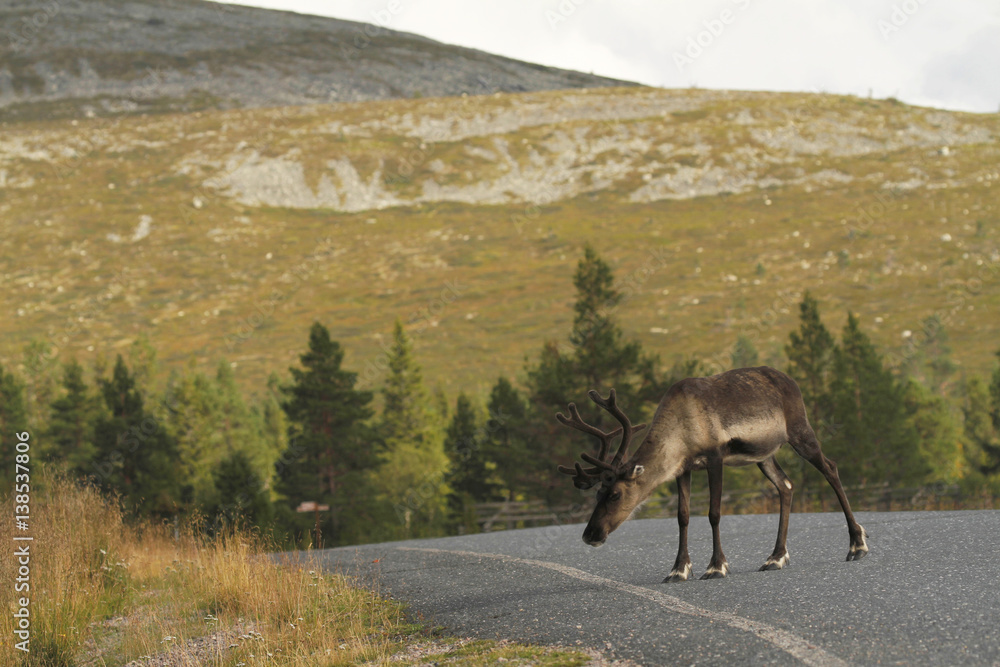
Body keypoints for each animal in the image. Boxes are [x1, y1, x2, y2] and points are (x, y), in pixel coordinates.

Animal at [557, 366, 868, 582]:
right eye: (597, 492)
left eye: (615, 494)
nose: (590, 534)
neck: (679, 431)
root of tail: (790, 380)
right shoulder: (683, 468)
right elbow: (682, 517)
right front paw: (678, 570)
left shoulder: (714, 458)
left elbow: (714, 513)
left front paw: (717, 566)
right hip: (764, 455)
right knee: (786, 485)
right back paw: (775, 557)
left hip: (799, 429)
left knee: (830, 468)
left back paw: (857, 544)